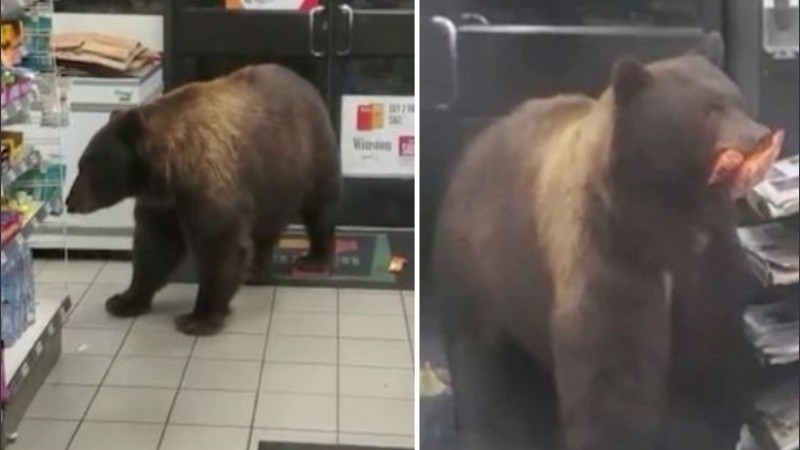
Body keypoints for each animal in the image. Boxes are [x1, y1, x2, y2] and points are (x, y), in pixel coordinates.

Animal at [65, 64, 341, 336]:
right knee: (267, 226)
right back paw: (257, 268)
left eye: (87, 164)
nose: (70, 201)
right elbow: (153, 246)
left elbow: (219, 245)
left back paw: (313, 258)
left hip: (310, 156)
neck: (170, 172)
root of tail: (305, 83)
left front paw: (198, 318)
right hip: (272, 181)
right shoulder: (162, 204)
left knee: (320, 207)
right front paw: (124, 300)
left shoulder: (208, 187)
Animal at [433, 33, 783, 450]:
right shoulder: (607, 247)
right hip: (480, 260)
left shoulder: (705, 254)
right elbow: (613, 367)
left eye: (737, 99)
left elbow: (707, 346)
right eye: (709, 110)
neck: (666, 210)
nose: (760, 134)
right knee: (479, 357)